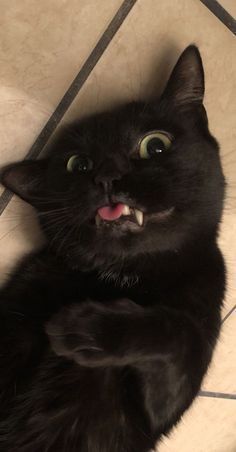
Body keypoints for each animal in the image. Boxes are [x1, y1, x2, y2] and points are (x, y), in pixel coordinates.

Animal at [0, 46, 225, 452]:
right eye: (78, 165)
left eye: (156, 144)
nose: (107, 176)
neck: (127, 271)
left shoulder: (157, 407)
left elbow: (182, 331)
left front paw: (85, 328)